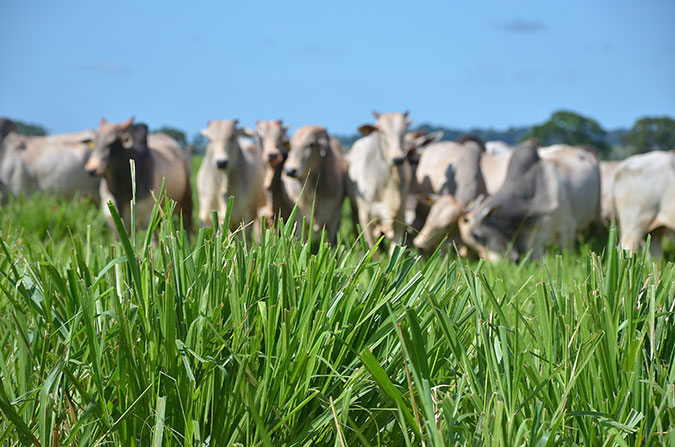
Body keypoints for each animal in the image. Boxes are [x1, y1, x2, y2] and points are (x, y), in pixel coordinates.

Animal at [348, 112, 412, 248]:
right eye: (382, 131)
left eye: (404, 130)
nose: (398, 159)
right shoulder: (365, 215)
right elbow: (372, 248)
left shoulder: (400, 215)